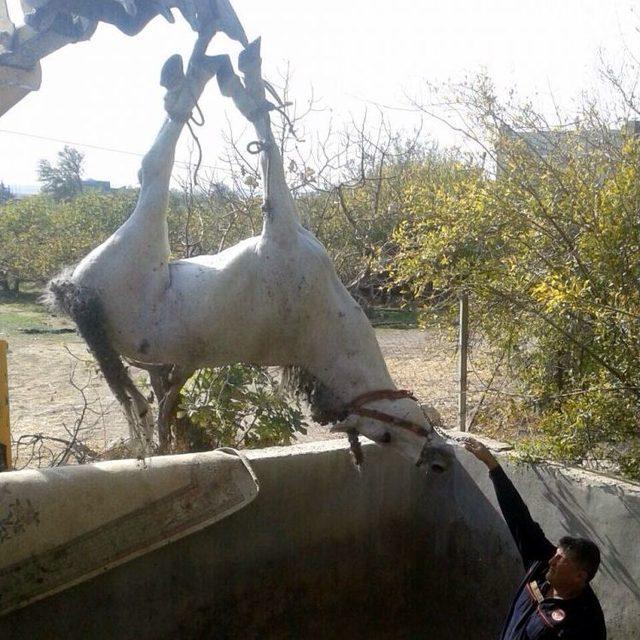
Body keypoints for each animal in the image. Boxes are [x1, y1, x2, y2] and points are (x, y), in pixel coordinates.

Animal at [47, 18, 452, 476]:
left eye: (383, 437)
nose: (438, 458)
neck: (322, 320)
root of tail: (77, 298)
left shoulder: (281, 230)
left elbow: (266, 142)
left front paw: (243, 82)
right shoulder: (284, 229)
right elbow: (266, 138)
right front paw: (246, 80)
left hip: (141, 238)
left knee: (153, 165)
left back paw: (198, 70)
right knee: (159, 153)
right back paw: (201, 62)